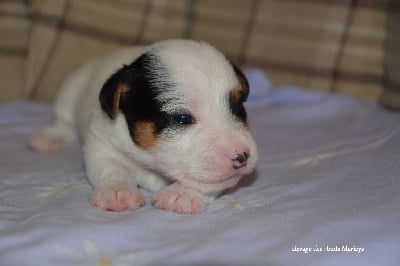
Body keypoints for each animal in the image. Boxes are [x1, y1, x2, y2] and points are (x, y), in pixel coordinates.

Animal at [28, 39, 260, 214]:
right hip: (70, 91)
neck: (152, 164)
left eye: (239, 107)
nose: (243, 156)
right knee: (63, 122)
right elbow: (112, 168)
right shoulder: (101, 146)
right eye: (182, 118)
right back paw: (47, 139)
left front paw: (182, 193)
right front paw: (117, 192)